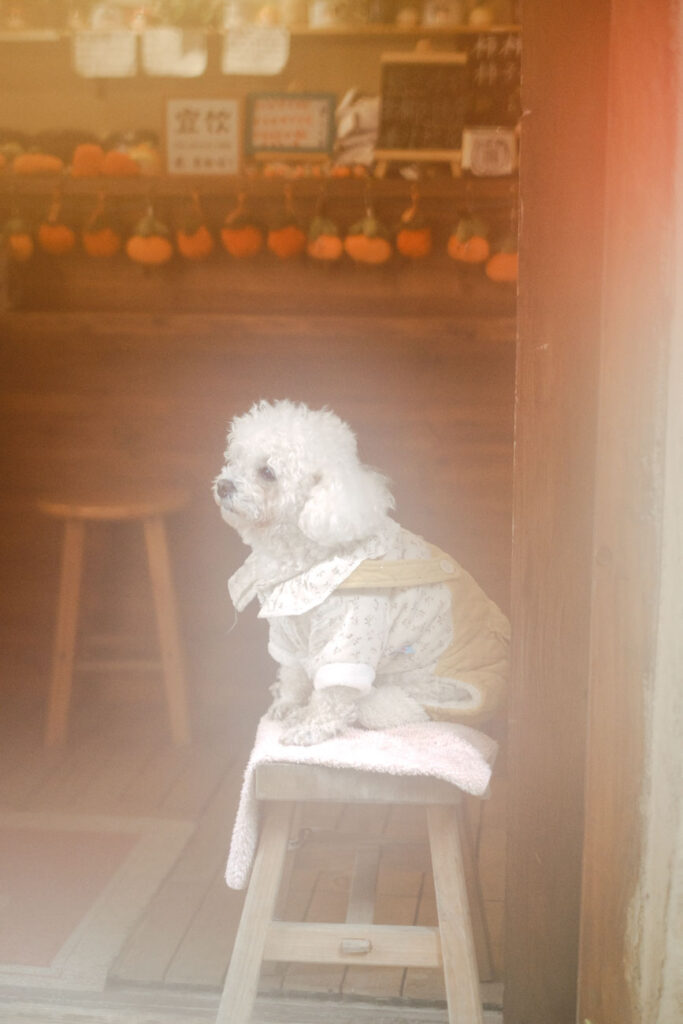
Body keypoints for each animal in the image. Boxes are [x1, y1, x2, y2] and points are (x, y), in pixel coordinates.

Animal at [213, 399, 509, 746]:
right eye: (234, 460)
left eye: (267, 472)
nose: (222, 485)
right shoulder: (288, 632)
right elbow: (292, 673)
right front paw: (287, 704)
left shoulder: (349, 631)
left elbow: (332, 693)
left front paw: (309, 726)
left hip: (418, 696)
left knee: (374, 706)